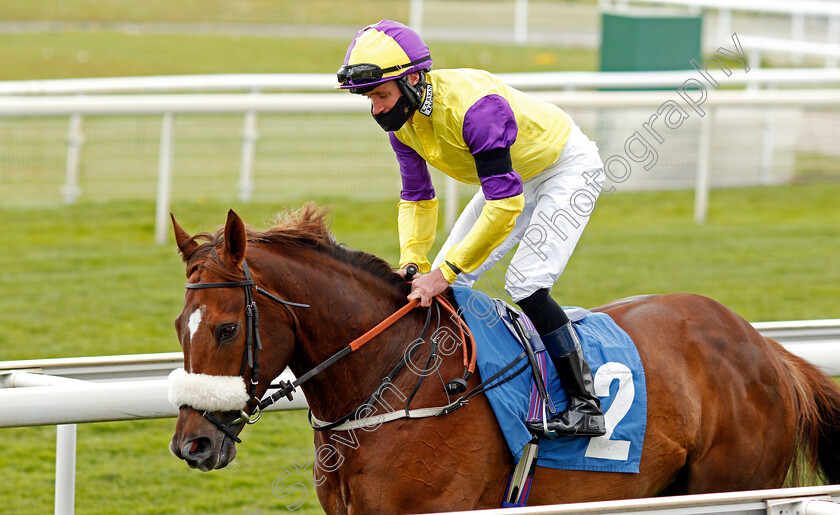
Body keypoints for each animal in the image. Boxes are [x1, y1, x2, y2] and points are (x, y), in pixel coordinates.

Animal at [167, 204, 840, 512]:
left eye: (226, 329)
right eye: (179, 324)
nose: (191, 444)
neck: (394, 384)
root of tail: (769, 350)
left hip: (734, 485)